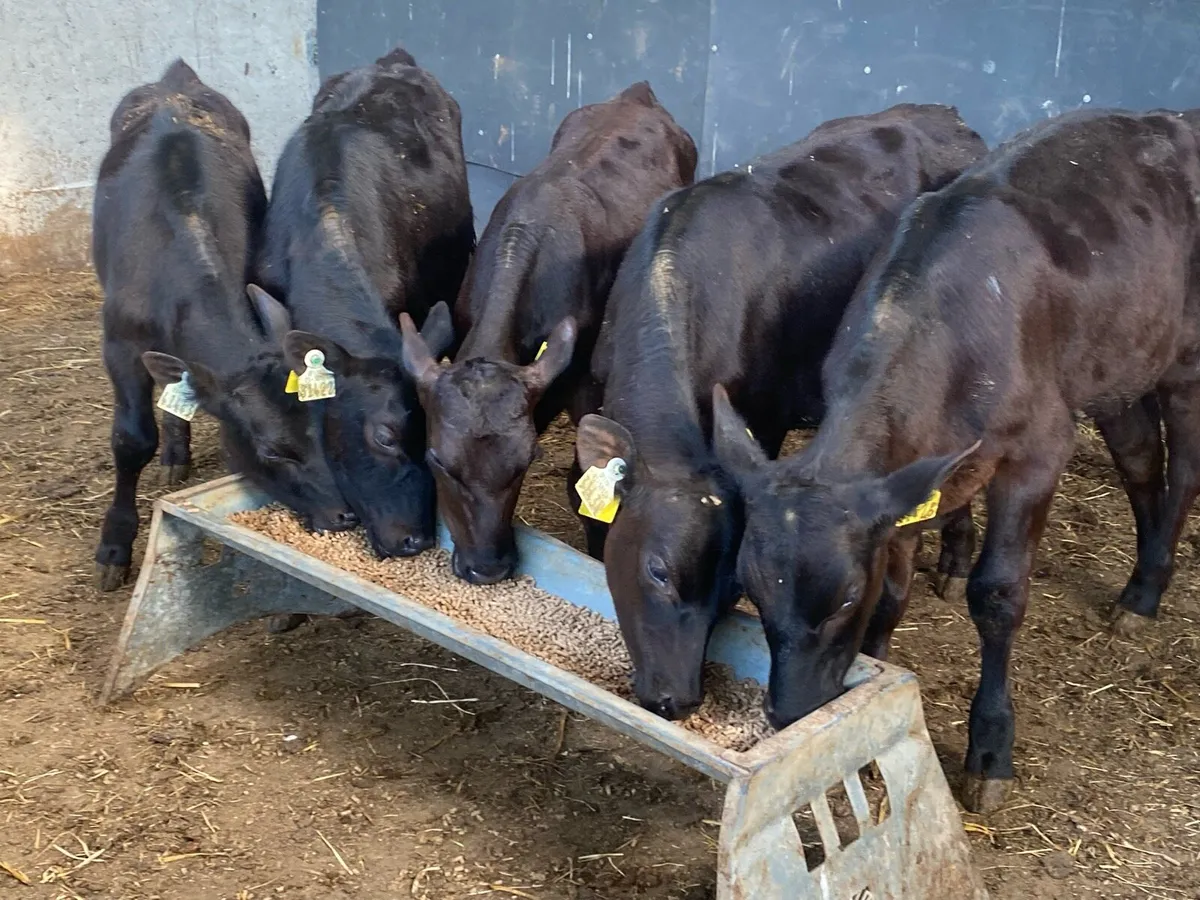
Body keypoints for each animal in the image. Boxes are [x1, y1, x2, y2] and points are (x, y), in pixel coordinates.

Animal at [93, 59, 354, 593]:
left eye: (322, 431)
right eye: (273, 451)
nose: (344, 516)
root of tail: (175, 79)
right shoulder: (118, 345)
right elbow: (131, 440)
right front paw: (113, 546)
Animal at [399, 82, 698, 585]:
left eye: (528, 461)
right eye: (437, 460)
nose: (487, 568)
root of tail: (637, 94)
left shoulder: (586, 385)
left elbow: (585, 489)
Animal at [709, 107, 1200, 813]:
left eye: (843, 596)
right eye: (750, 584)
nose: (790, 711)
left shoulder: (1039, 448)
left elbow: (997, 595)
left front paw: (990, 750)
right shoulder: (902, 477)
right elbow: (895, 589)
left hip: (1186, 361)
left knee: (1185, 469)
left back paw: (1150, 591)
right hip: (1121, 360)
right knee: (1140, 459)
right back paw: (1135, 588)